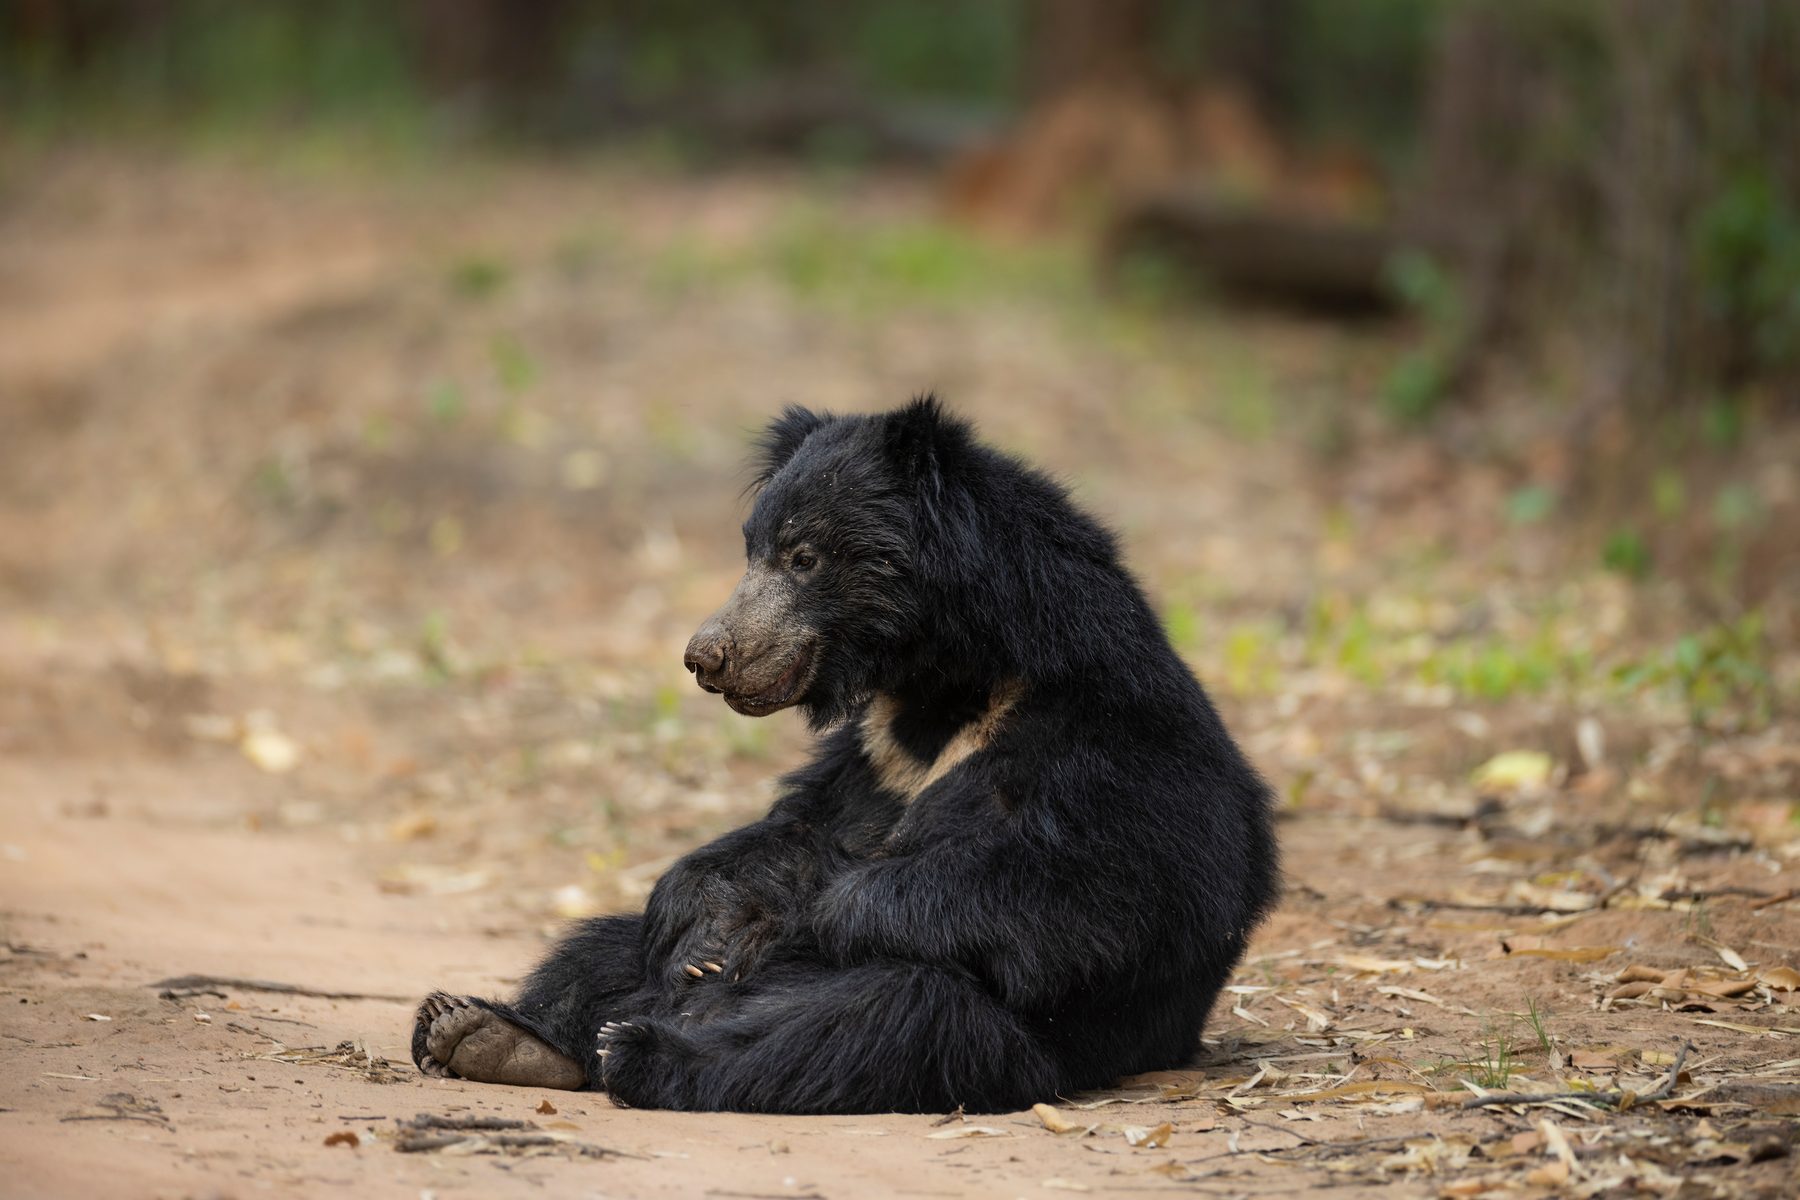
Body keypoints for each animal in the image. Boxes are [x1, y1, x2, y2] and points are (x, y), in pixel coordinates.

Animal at [411, 397, 1279, 1113]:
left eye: (803, 558)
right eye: (751, 551)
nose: (706, 656)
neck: (947, 682)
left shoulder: (1104, 740)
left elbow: (1088, 893)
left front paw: (795, 926)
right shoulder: (876, 748)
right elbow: (798, 829)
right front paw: (707, 916)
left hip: (1015, 1041)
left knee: (876, 1019)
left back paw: (642, 1049)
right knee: (601, 948)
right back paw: (492, 1035)